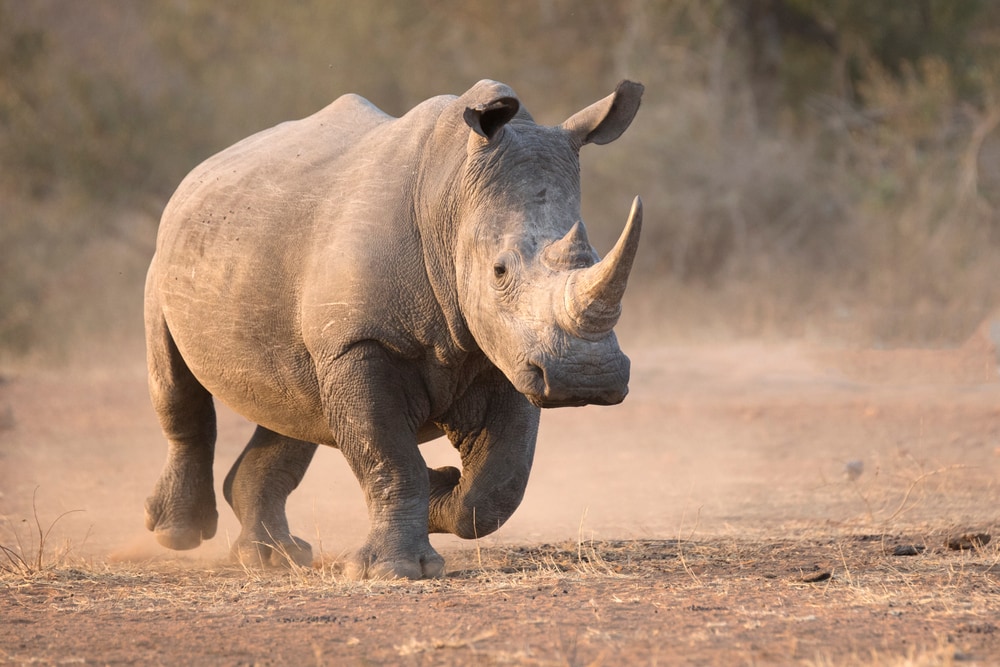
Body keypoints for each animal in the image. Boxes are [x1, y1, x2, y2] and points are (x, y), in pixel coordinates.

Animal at [144, 79, 644, 579]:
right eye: (499, 271)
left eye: (594, 255)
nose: (587, 377)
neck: (451, 202)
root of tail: (200, 172)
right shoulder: (358, 341)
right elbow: (389, 457)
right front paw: (393, 570)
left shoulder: (510, 354)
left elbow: (499, 483)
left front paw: (440, 491)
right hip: (168, 259)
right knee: (176, 386)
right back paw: (178, 534)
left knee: (292, 409)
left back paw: (274, 557)